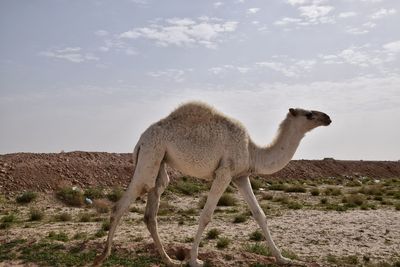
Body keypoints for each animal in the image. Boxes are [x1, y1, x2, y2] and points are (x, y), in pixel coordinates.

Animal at [94, 101, 332, 266]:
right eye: (309, 114)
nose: (328, 117)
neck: (253, 152)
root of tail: (140, 140)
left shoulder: (240, 176)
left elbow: (259, 214)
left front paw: (283, 258)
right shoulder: (224, 172)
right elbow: (206, 216)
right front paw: (194, 260)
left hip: (159, 161)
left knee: (150, 213)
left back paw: (169, 259)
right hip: (151, 153)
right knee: (123, 203)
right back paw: (102, 257)